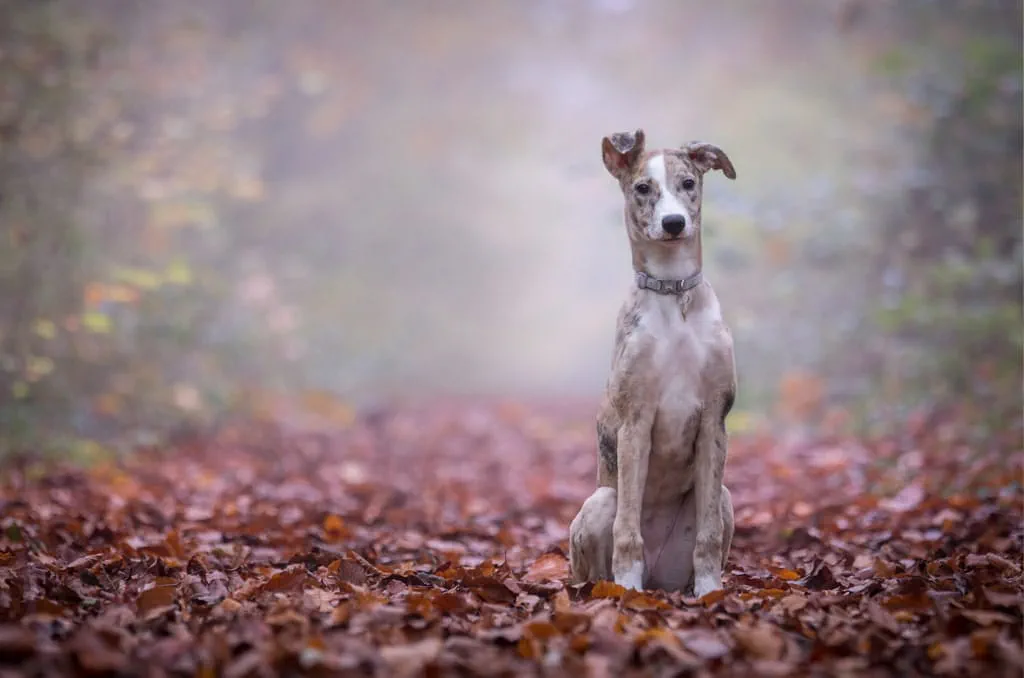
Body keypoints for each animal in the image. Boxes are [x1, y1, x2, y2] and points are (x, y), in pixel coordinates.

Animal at [569, 130, 737, 598]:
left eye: (689, 183)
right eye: (643, 188)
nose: (674, 223)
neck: (673, 292)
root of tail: (660, 580)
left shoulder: (714, 421)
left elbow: (708, 536)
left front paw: (711, 593)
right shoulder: (635, 422)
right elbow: (628, 531)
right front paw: (627, 591)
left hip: (725, 498)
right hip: (599, 503)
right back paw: (620, 588)